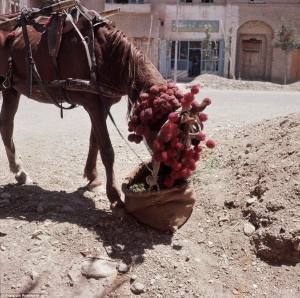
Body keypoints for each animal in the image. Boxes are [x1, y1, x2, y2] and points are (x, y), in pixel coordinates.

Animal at [0, 13, 164, 207]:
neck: (105, 54)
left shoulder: (102, 106)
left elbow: (95, 142)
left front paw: (93, 178)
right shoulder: (93, 104)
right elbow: (107, 150)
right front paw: (114, 195)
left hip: (10, 88)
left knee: (6, 126)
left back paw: (20, 173)